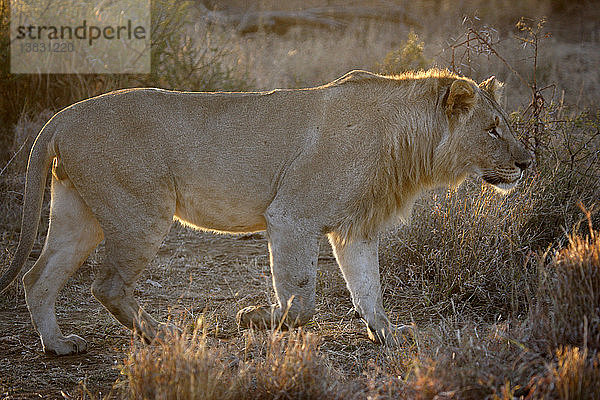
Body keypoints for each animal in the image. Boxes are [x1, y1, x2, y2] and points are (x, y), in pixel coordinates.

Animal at [2, 69, 532, 354]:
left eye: (505, 124)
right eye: (492, 129)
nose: (528, 162)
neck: (408, 141)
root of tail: (64, 115)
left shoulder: (355, 230)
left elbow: (368, 289)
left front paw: (388, 335)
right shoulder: (292, 216)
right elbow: (301, 301)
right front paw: (256, 317)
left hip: (78, 215)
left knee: (38, 277)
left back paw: (58, 346)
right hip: (142, 212)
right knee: (107, 285)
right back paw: (164, 335)